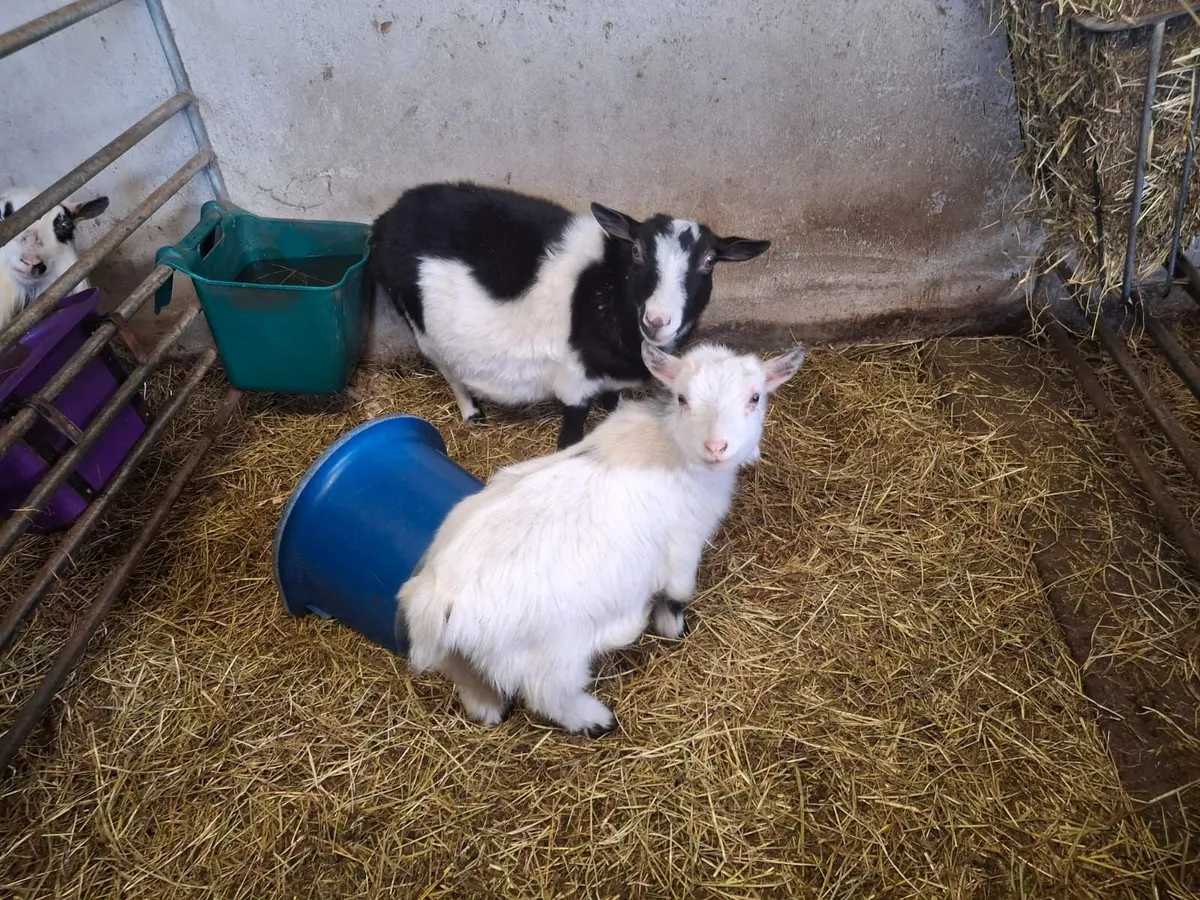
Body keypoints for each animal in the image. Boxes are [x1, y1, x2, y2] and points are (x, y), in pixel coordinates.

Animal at [369, 181, 772, 448]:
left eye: (709, 261)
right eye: (637, 251)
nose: (657, 321)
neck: (610, 298)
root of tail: (388, 217)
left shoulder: (614, 380)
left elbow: (613, 405)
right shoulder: (574, 383)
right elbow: (571, 438)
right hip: (417, 318)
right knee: (447, 367)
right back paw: (471, 412)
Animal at [397, 338, 806, 735]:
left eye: (755, 397)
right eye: (682, 398)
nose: (716, 448)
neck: (671, 446)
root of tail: (439, 596)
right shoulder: (684, 546)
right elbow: (676, 594)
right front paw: (674, 629)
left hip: (456, 654)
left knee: (467, 681)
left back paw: (489, 711)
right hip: (552, 655)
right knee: (549, 694)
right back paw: (596, 720)